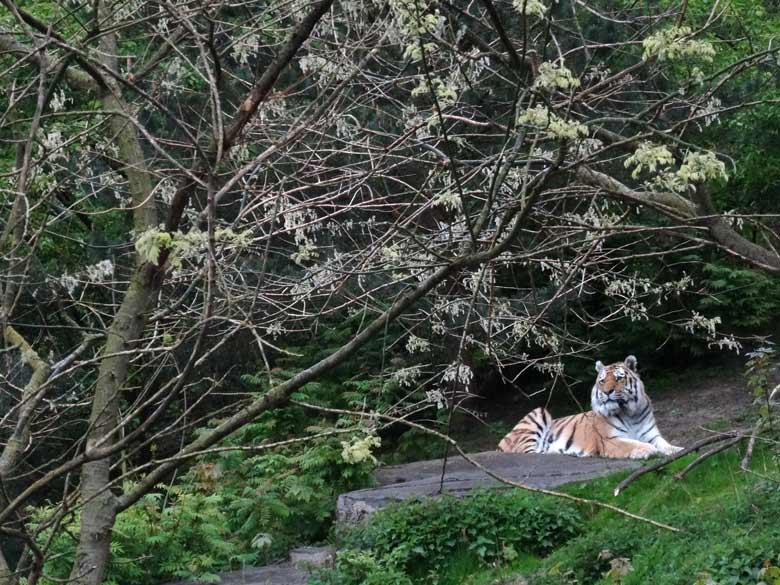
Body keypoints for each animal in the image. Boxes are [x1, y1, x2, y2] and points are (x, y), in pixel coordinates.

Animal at [500, 354, 684, 458]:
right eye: (602, 381)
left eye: (618, 378)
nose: (607, 392)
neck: (630, 412)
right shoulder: (609, 440)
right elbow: (635, 444)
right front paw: (649, 450)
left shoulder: (652, 435)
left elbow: (664, 444)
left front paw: (678, 449)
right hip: (538, 412)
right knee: (530, 452)